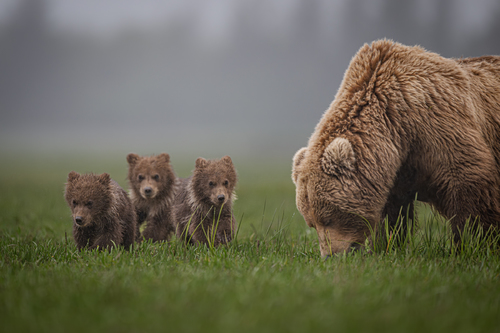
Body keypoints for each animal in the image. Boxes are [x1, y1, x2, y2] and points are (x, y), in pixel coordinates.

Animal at [292, 40, 500, 255]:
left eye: (328, 217)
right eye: (311, 223)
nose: (331, 255)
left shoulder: (437, 125)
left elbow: (468, 186)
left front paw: (473, 243)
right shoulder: (396, 169)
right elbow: (392, 215)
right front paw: (386, 246)